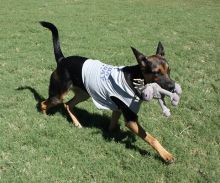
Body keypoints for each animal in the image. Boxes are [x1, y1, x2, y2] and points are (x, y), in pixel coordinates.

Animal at [39, 21, 175, 163]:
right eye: (156, 73)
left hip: (83, 94)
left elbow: (112, 126)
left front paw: (112, 134)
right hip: (58, 95)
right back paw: (44, 117)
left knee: (67, 105)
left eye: (169, 70)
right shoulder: (131, 119)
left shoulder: (117, 109)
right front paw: (166, 155)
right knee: (43, 104)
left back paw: (76, 123)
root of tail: (62, 60)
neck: (135, 78)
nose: (172, 87)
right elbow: (152, 138)